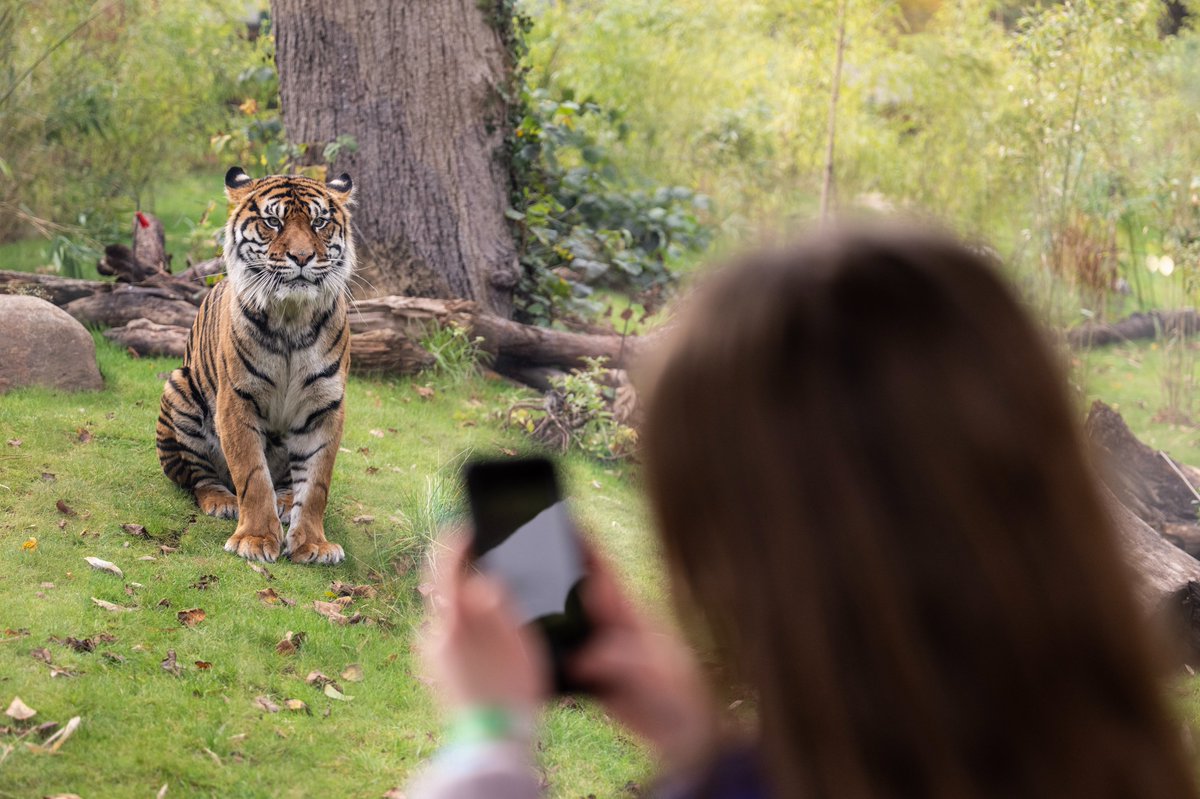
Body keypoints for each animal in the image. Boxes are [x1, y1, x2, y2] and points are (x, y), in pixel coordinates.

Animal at [154, 163, 352, 559]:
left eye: (319, 222)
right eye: (273, 222)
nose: (302, 257)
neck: (292, 318)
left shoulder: (326, 405)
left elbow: (317, 483)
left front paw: (313, 543)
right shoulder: (237, 399)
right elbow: (252, 475)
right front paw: (256, 539)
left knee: (289, 482)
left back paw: (285, 501)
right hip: (179, 388)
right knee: (199, 476)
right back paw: (222, 502)